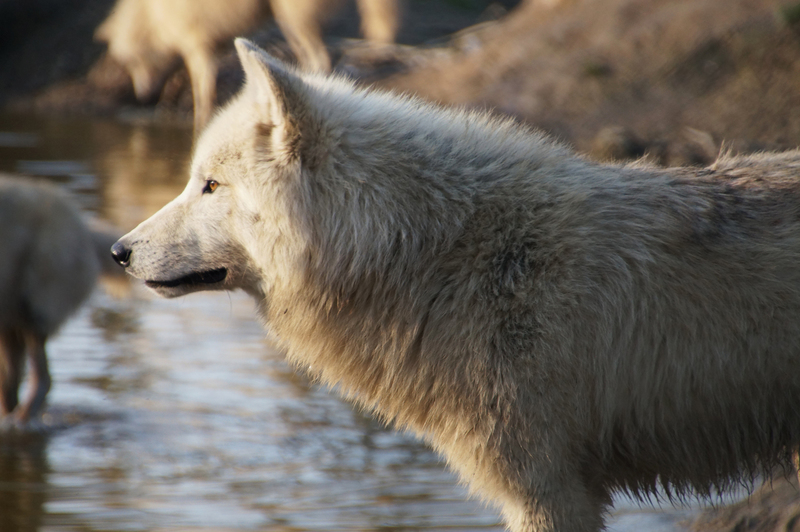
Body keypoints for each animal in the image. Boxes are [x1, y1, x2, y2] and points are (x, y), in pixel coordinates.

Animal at [0, 175, 125, 425]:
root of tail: (85, 227)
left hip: (36, 303)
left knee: (41, 379)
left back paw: (22, 419)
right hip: (12, 315)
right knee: (12, 383)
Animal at [95, 0, 400, 132]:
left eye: (132, 62)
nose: (144, 96)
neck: (152, 19)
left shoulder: (197, 44)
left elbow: (203, 92)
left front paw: (201, 120)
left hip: (293, 15)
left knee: (320, 58)